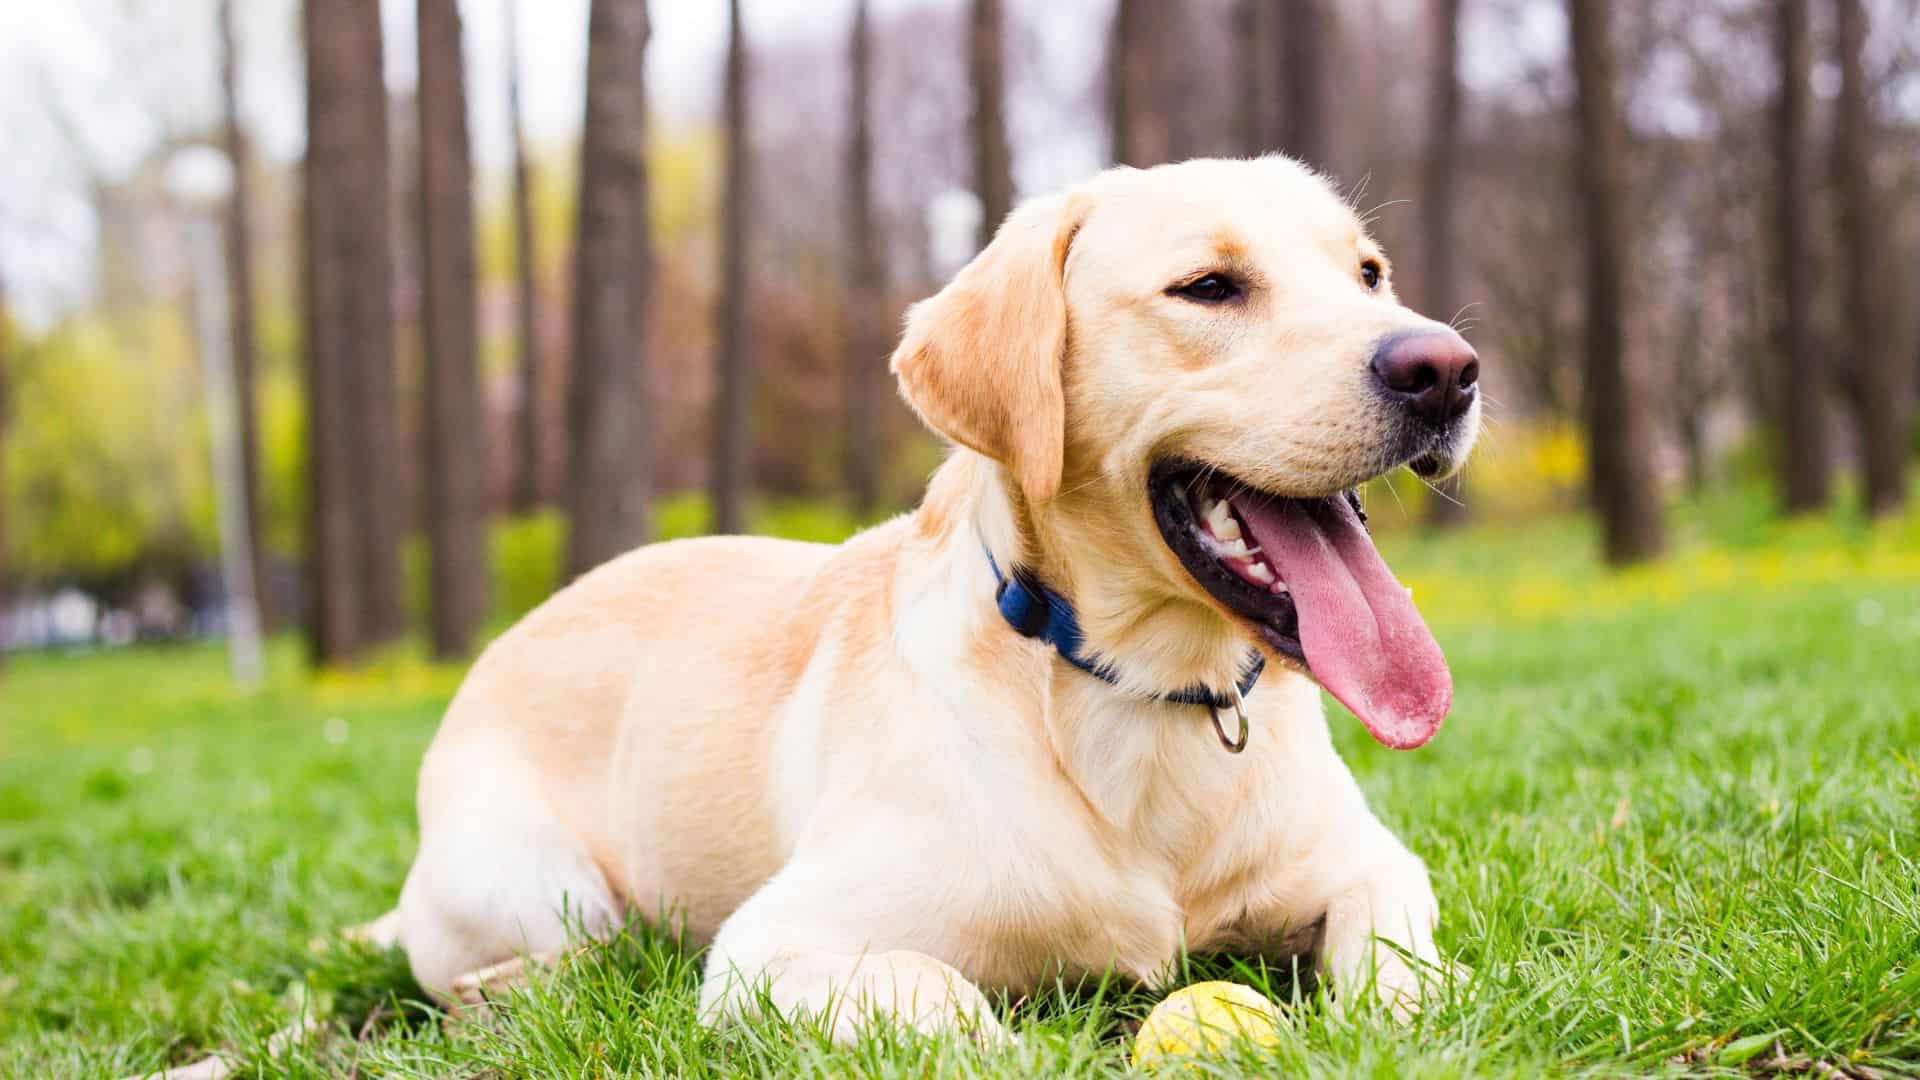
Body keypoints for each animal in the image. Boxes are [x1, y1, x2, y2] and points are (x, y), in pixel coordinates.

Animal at [385, 155, 1466, 1037]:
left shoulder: (1372, 863)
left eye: (1369, 274)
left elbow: (1399, 956)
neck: (1145, 692)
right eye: (1208, 287)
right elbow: (941, 994)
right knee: (565, 954)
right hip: (538, 879)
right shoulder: (769, 948)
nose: (1446, 368)